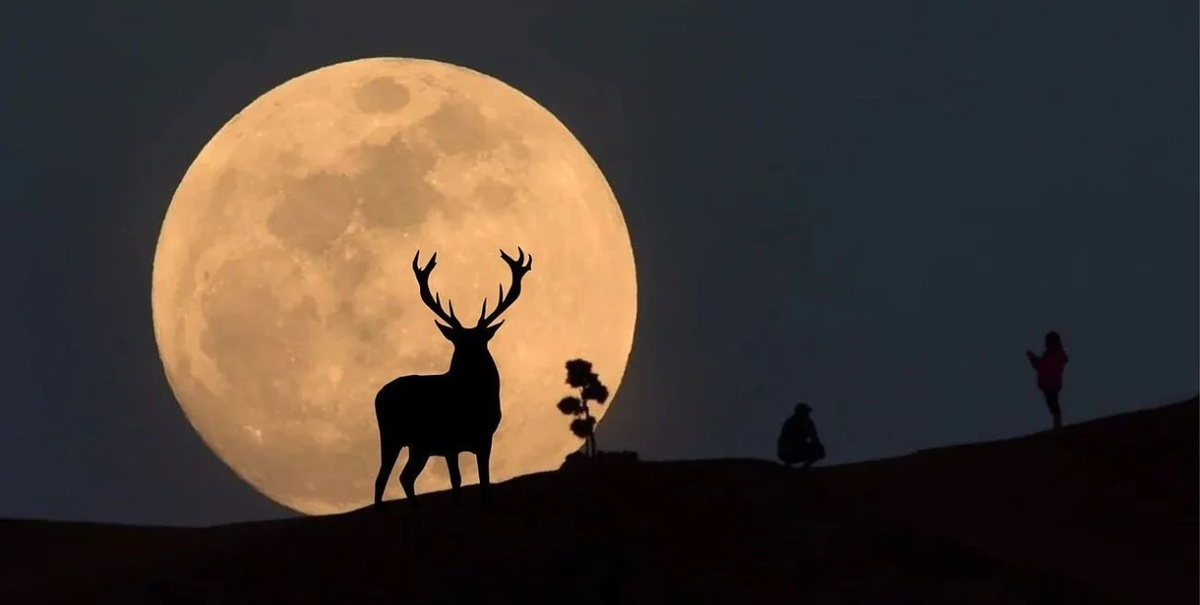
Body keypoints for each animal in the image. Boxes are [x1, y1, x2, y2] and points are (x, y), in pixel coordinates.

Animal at [373, 247, 532, 507]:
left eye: (479, 342)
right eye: (458, 344)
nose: (467, 364)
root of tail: (378, 395)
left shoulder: (485, 438)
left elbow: (485, 480)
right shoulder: (449, 442)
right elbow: (456, 481)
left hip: (420, 446)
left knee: (405, 477)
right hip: (391, 436)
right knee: (381, 479)